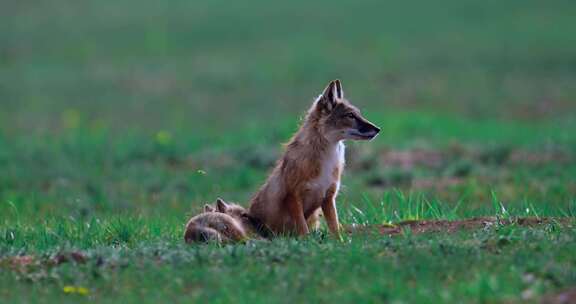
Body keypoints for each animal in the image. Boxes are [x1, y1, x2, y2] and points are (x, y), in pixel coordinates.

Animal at [248, 80, 378, 238]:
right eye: (350, 115)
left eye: (358, 114)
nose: (378, 129)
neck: (326, 161)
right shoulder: (293, 197)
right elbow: (303, 230)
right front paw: (307, 241)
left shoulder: (328, 197)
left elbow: (335, 229)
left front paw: (340, 242)